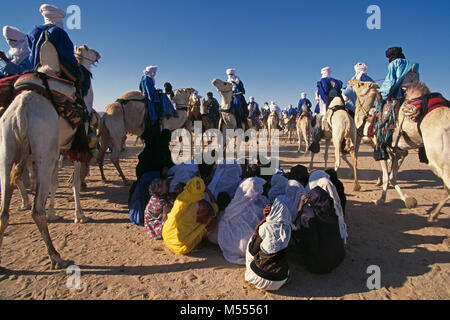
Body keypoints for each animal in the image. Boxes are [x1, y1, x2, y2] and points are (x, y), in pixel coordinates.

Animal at [352, 80, 450, 221]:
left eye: (361, 84)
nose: (350, 82)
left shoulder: (380, 146)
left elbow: (387, 176)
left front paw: (380, 200)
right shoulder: (398, 150)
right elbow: (392, 176)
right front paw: (408, 200)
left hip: (438, 155)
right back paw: (433, 215)